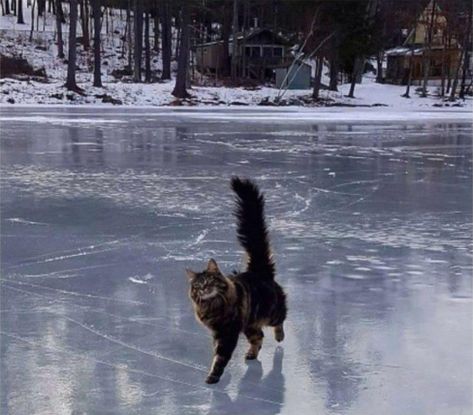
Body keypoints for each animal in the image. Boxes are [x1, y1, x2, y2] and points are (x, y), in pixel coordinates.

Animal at [185, 177, 288, 386]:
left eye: (210, 281)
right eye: (198, 286)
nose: (204, 289)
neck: (212, 306)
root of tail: (258, 270)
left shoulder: (228, 332)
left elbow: (220, 357)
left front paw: (213, 377)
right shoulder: (218, 333)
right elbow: (217, 353)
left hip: (270, 312)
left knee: (281, 319)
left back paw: (279, 336)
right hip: (250, 324)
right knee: (259, 337)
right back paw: (251, 354)